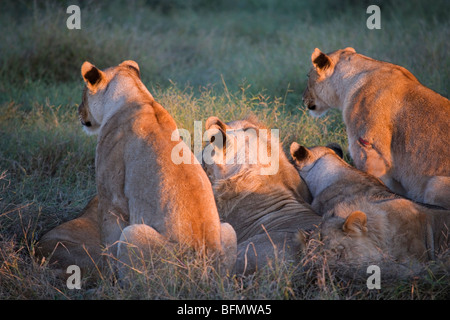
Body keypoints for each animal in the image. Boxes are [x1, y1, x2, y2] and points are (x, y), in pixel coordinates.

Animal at [37, 60, 236, 278]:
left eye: (83, 95)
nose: (79, 111)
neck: (137, 96)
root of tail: (207, 268)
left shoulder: (111, 198)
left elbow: (109, 243)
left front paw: (109, 279)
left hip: (133, 233)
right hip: (228, 228)